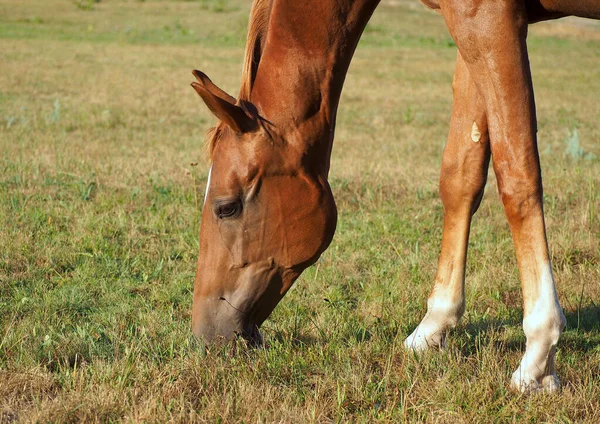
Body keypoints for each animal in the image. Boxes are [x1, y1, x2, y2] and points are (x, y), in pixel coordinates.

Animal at [189, 0, 600, 392]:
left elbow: (517, 172)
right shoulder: (470, 27)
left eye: (227, 207)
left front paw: (538, 358)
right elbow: (460, 176)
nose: (205, 335)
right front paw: (433, 327)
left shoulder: (488, 19)